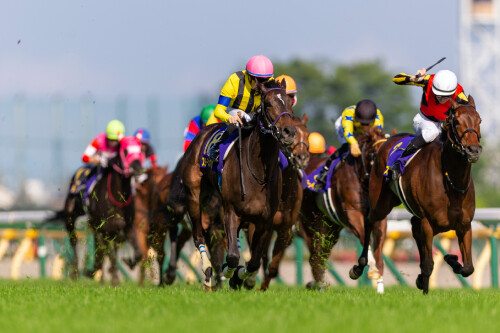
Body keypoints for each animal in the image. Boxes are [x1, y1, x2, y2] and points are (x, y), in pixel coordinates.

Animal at [183, 80, 296, 288]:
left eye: (289, 103)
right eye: (268, 104)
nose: (289, 131)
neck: (259, 172)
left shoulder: (265, 220)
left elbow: (254, 261)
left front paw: (241, 278)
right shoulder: (230, 211)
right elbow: (234, 257)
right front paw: (229, 272)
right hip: (194, 196)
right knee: (198, 235)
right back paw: (207, 270)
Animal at [298, 127, 388, 290]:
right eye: (375, 153)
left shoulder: (380, 218)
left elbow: (378, 248)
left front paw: (379, 284)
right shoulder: (352, 214)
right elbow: (364, 238)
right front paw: (367, 269)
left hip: (331, 226)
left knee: (324, 250)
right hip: (310, 220)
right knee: (315, 250)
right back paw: (318, 282)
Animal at [350, 96, 482, 294]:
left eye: (479, 120)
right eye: (457, 121)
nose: (473, 150)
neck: (451, 180)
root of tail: (387, 140)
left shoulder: (464, 224)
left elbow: (468, 267)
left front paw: (451, 259)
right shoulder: (428, 222)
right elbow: (428, 265)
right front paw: (425, 290)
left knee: (413, 226)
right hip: (380, 203)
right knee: (369, 220)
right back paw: (359, 266)